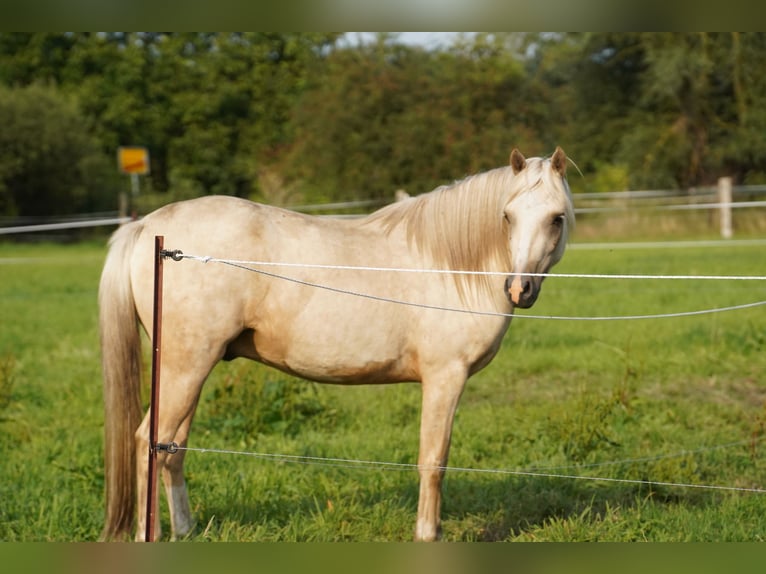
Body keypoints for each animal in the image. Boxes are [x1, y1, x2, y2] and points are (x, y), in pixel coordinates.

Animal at [99, 146, 572, 544]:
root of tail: (147, 228)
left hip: (189, 369)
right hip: (185, 367)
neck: (456, 267)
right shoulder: (445, 378)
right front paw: (427, 535)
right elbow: (433, 460)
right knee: (147, 443)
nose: (519, 289)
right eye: (507, 216)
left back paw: (186, 530)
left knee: (171, 449)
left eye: (556, 218)